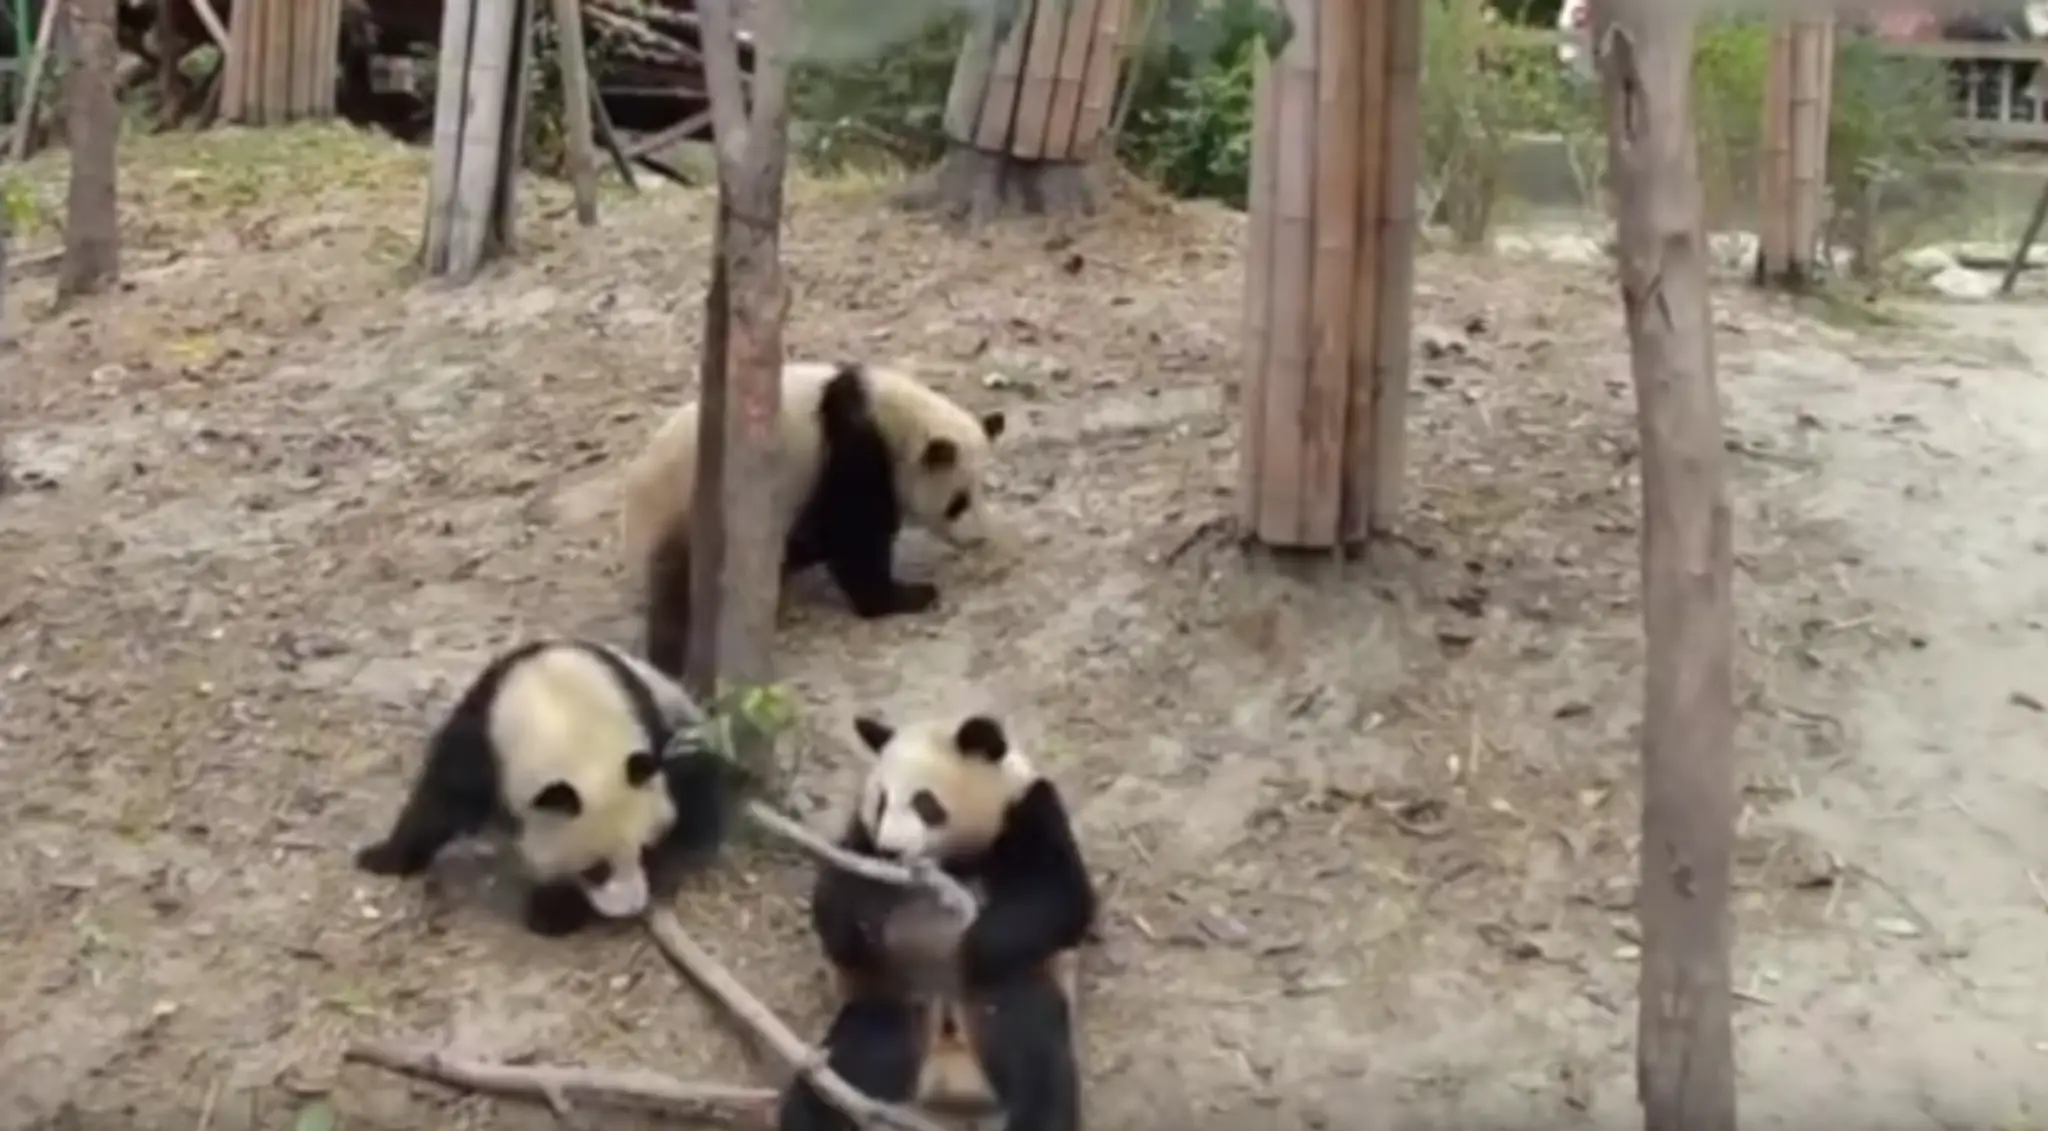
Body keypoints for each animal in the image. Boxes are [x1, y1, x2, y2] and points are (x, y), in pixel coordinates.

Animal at [352, 638, 745, 938]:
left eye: (647, 851)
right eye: (596, 869)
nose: (631, 907)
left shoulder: (647, 722)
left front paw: (555, 910)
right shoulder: (483, 737)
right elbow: (440, 799)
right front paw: (381, 857)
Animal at [618, 361, 1008, 677]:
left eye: (982, 490)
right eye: (958, 502)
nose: (980, 538)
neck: (893, 415)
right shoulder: (853, 449)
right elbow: (852, 537)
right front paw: (910, 595)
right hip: (692, 510)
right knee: (678, 591)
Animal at [778, 710, 1097, 1131]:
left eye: (924, 803)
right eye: (881, 802)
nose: (892, 850)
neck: (949, 860)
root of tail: (953, 1077)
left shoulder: (1027, 810)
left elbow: (1060, 895)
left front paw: (974, 945)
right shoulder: (863, 838)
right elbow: (836, 892)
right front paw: (865, 932)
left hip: (1007, 995)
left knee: (1037, 1059)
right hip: (894, 1001)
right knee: (855, 1059)